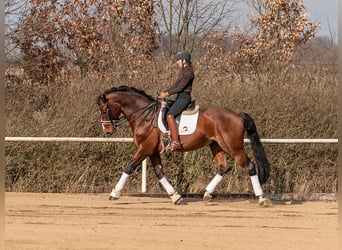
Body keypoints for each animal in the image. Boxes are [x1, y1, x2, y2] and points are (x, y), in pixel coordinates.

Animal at [97, 85, 272, 206]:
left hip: (233, 148)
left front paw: (114, 193)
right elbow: (159, 173)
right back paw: (207, 194)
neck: (144, 116)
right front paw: (175, 196)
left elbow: (129, 167)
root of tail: (237, 114)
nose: (107, 130)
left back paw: (262, 199)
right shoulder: (153, 151)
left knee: (249, 166)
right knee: (223, 167)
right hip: (216, 145)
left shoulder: (144, 148)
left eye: (104, 109)